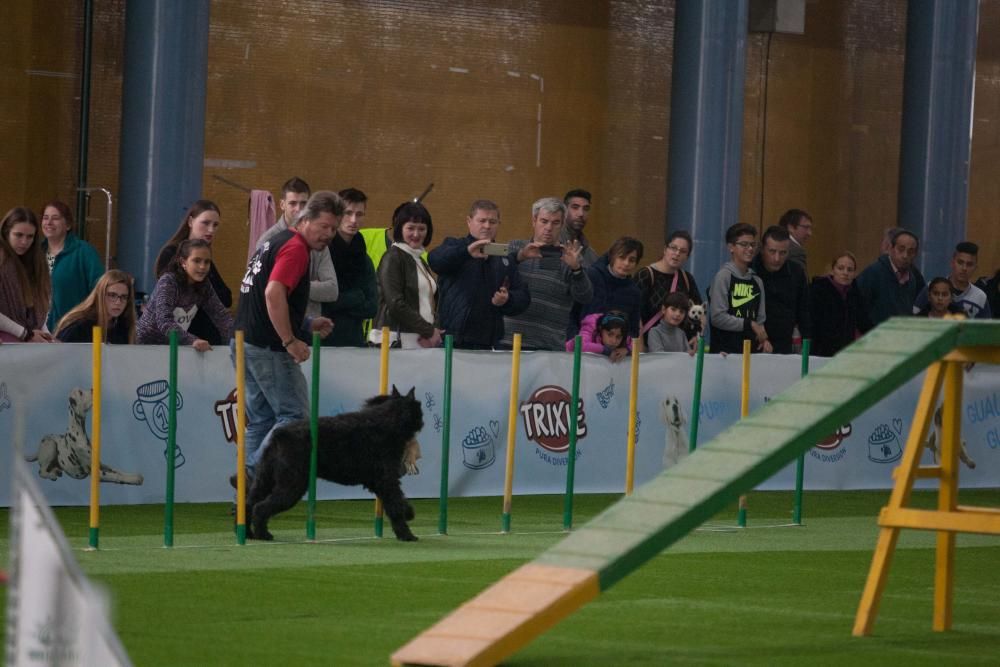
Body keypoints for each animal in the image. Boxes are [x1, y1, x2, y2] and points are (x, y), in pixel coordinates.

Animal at [250, 386, 426, 544]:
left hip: (265, 480)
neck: (388, 422)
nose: (422, 422)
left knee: (251, 501)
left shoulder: (376, 482)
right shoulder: (387, 481)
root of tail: (279, 434)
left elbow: (398, 500)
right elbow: (396, 505)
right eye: (418, 408)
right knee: (260, 508)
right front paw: (407, 532)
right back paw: (262, 534)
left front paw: (408, 513)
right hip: (291, 486)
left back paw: (249, 533)